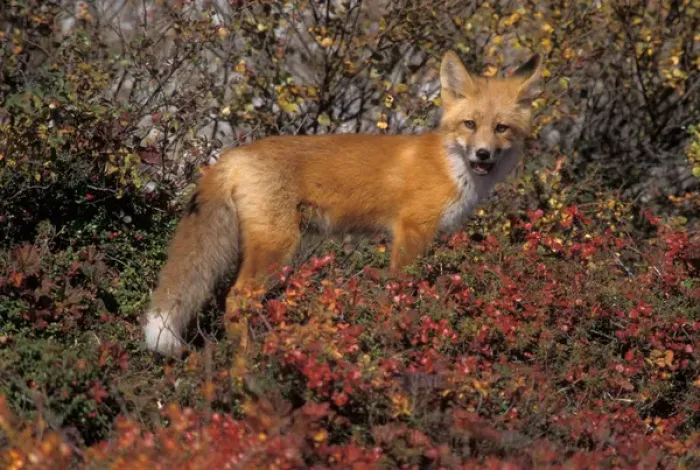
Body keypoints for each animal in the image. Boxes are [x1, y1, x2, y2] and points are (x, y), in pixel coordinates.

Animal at [143, 50, 543, 356]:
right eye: (469, 124)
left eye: (501, 129)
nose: (483, 154)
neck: (451, 166)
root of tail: (232, 155)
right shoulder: (412, 229)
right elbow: (401, 288)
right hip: (278, 247)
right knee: (236, 299)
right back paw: (246, 365)